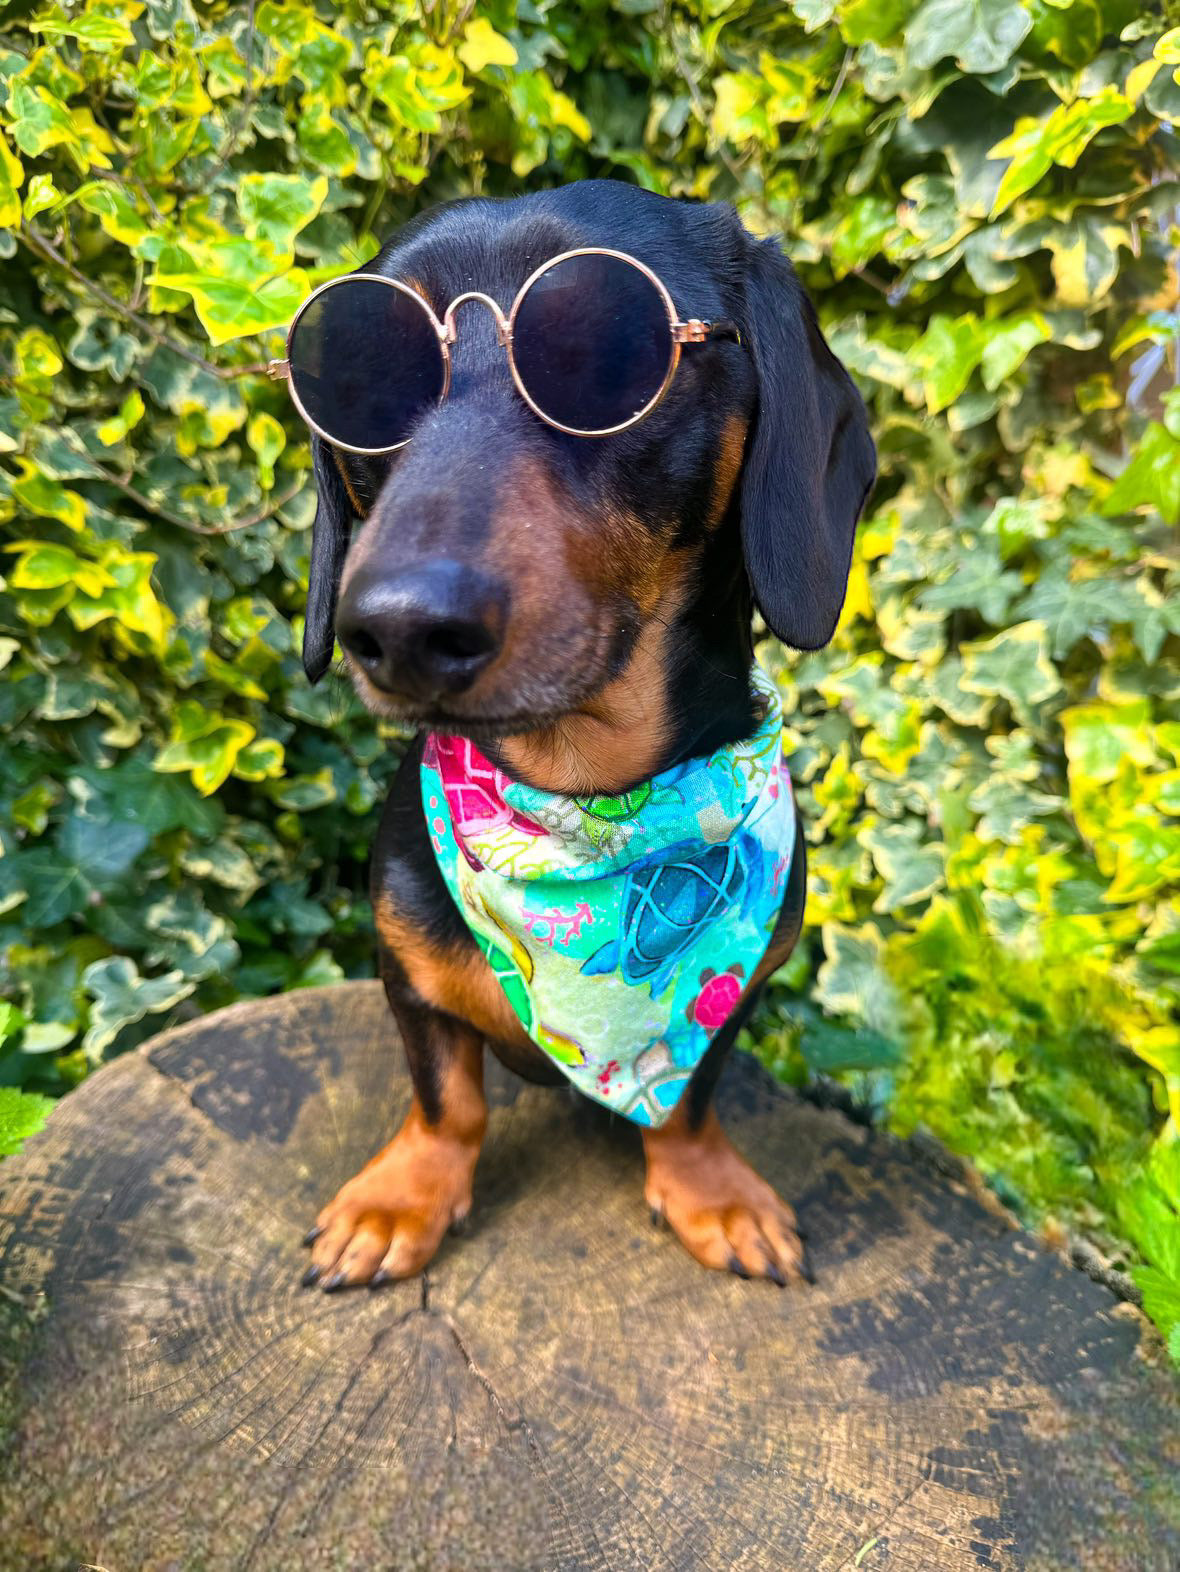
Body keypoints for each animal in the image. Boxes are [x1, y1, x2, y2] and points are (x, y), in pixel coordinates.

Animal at [284, 180, 879, 1289]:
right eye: (357, 381)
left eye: (608, 356)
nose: (399, 629)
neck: (582, 802)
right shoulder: (405, 972)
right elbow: (448, 1100)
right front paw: (401, 1198)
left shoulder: (732, 1000)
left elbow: (688, 1100)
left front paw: (710, 1191)